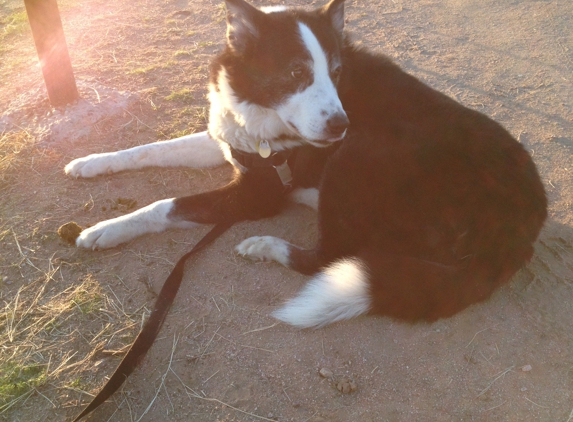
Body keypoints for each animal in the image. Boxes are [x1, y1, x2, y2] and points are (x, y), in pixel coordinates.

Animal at [65, 0, 548, 328]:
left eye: (335, 72)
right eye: (296, 72)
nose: (340, 125)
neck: (259, 106)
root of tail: (518, 233)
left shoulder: (257, 193)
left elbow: (165, 205)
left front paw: (106, 230)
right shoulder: (230, 140)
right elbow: (151, 149)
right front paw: (91, 162)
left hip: (359, 154)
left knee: (329, 258)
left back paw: (267, 246)